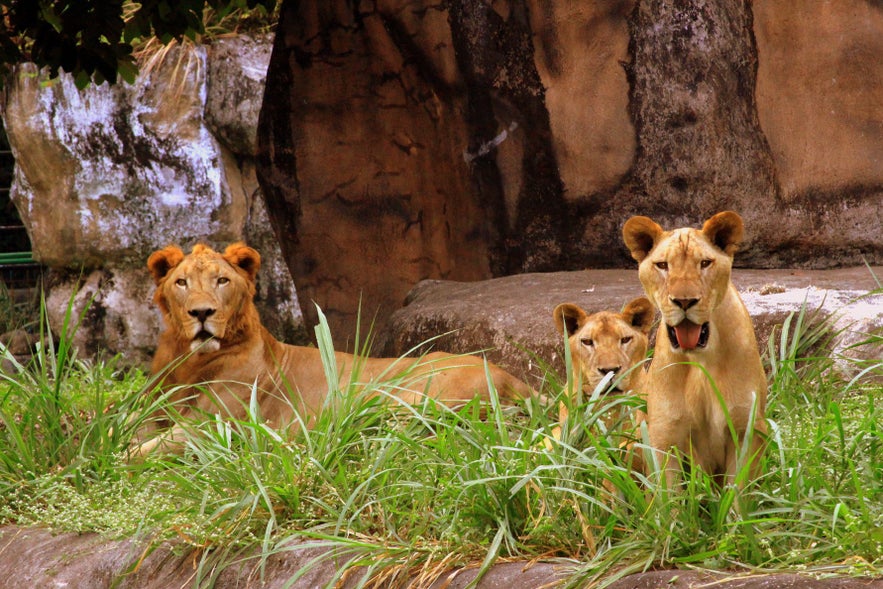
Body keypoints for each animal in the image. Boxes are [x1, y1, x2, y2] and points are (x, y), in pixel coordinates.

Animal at [134, 243, 534, 455]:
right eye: (182, 283)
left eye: (222, 281)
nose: (202, 313)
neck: (187, 362)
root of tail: (512, 378)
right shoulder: (151, 415)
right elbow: (128, 430)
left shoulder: (212, 428)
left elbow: (137, 452)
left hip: (413, 399)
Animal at [622, 211, 767, 486]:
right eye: (662, 265)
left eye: (705, 263)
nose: (685, 301)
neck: (700, 360)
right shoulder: (664, 437)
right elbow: (668, 495)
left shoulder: (745, 430)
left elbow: (736, 492)